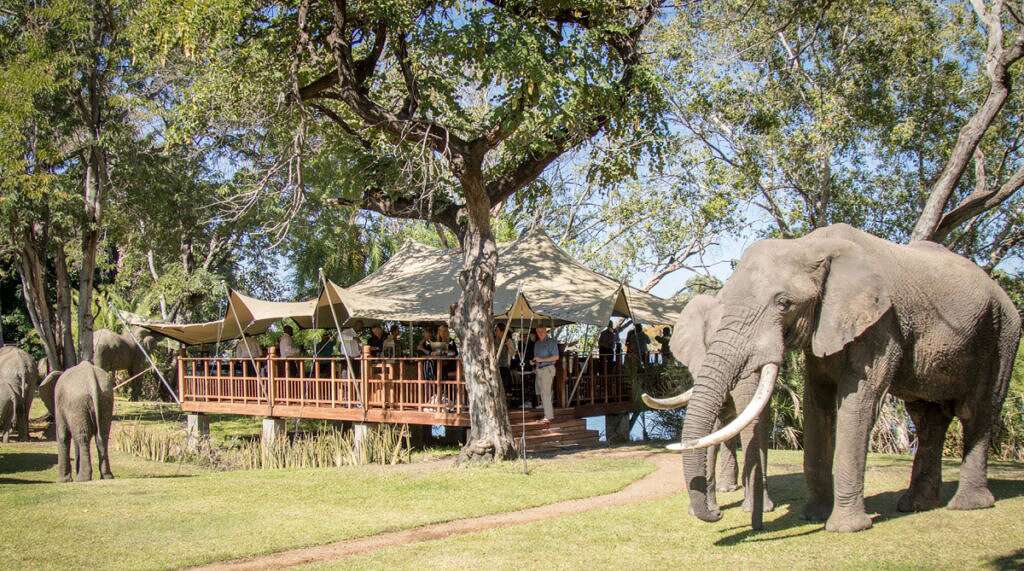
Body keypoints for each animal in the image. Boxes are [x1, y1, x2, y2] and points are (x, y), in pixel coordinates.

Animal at [643, 294, 774, 528]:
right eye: (711, 346)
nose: (718, 515)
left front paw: (758, 509)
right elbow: (710, 430)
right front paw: (706, 510)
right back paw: (728, 488)